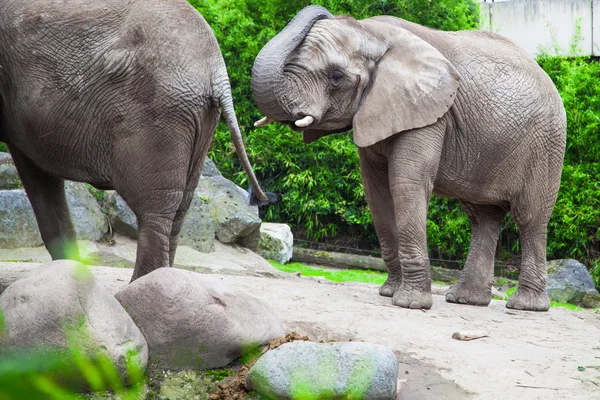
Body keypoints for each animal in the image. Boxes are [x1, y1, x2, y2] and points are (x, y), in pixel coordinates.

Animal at [0, 0, 272, 282]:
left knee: (155, 209)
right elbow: (40, 175)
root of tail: (216, 70)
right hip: (200, 119)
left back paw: (143, 286)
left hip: (157, 114)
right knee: (180, 208)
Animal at [252, 7, 568, 312]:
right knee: (482, 217)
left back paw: (526, 305)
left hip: (546, 143)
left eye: (336, 76)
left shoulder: (430, 112)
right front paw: (389, 292)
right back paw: (466, 299)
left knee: (529, 217)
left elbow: (406, 183)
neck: (373, 34)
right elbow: (377, 191)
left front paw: (410, 303)